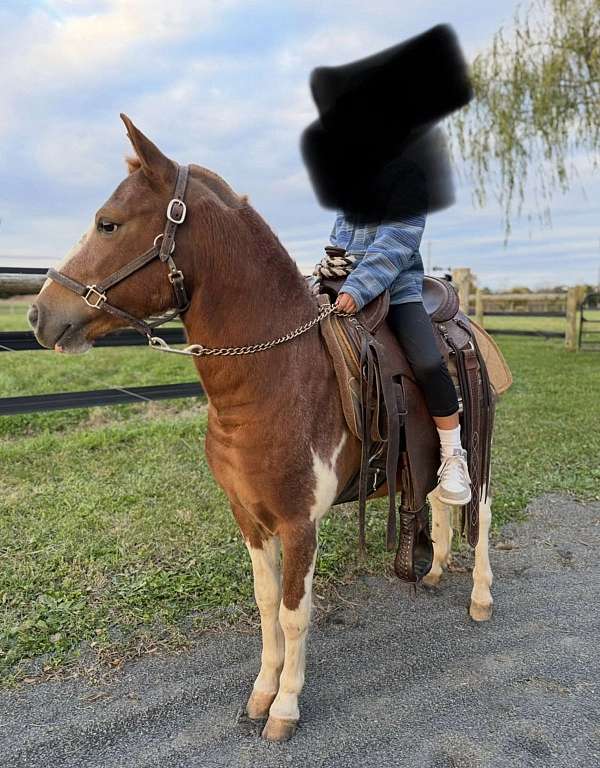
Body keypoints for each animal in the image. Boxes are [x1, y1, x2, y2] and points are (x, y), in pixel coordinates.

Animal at [29, 115, 494, 742]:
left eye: (108, 223)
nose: (39, 314)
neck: (274, 378)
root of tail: (459, 314)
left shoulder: (299, 524)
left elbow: (296, 614)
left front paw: (285, 707)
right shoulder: (249, 517)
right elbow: (266, 603)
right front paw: (261, 692)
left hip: (479, 444)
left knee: (481, 512)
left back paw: (481, 597)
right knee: (441, 503)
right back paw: (437, 568)